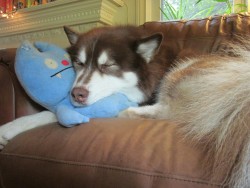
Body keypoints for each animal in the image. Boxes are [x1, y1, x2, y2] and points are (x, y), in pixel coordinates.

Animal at [0, 25, 250, 187]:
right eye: (78, 63)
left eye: (108, 66)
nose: (76, 94)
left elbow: (53, 113)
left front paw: (9, 128)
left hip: (184, 71)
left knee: (174, 112)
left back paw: (126, 113)